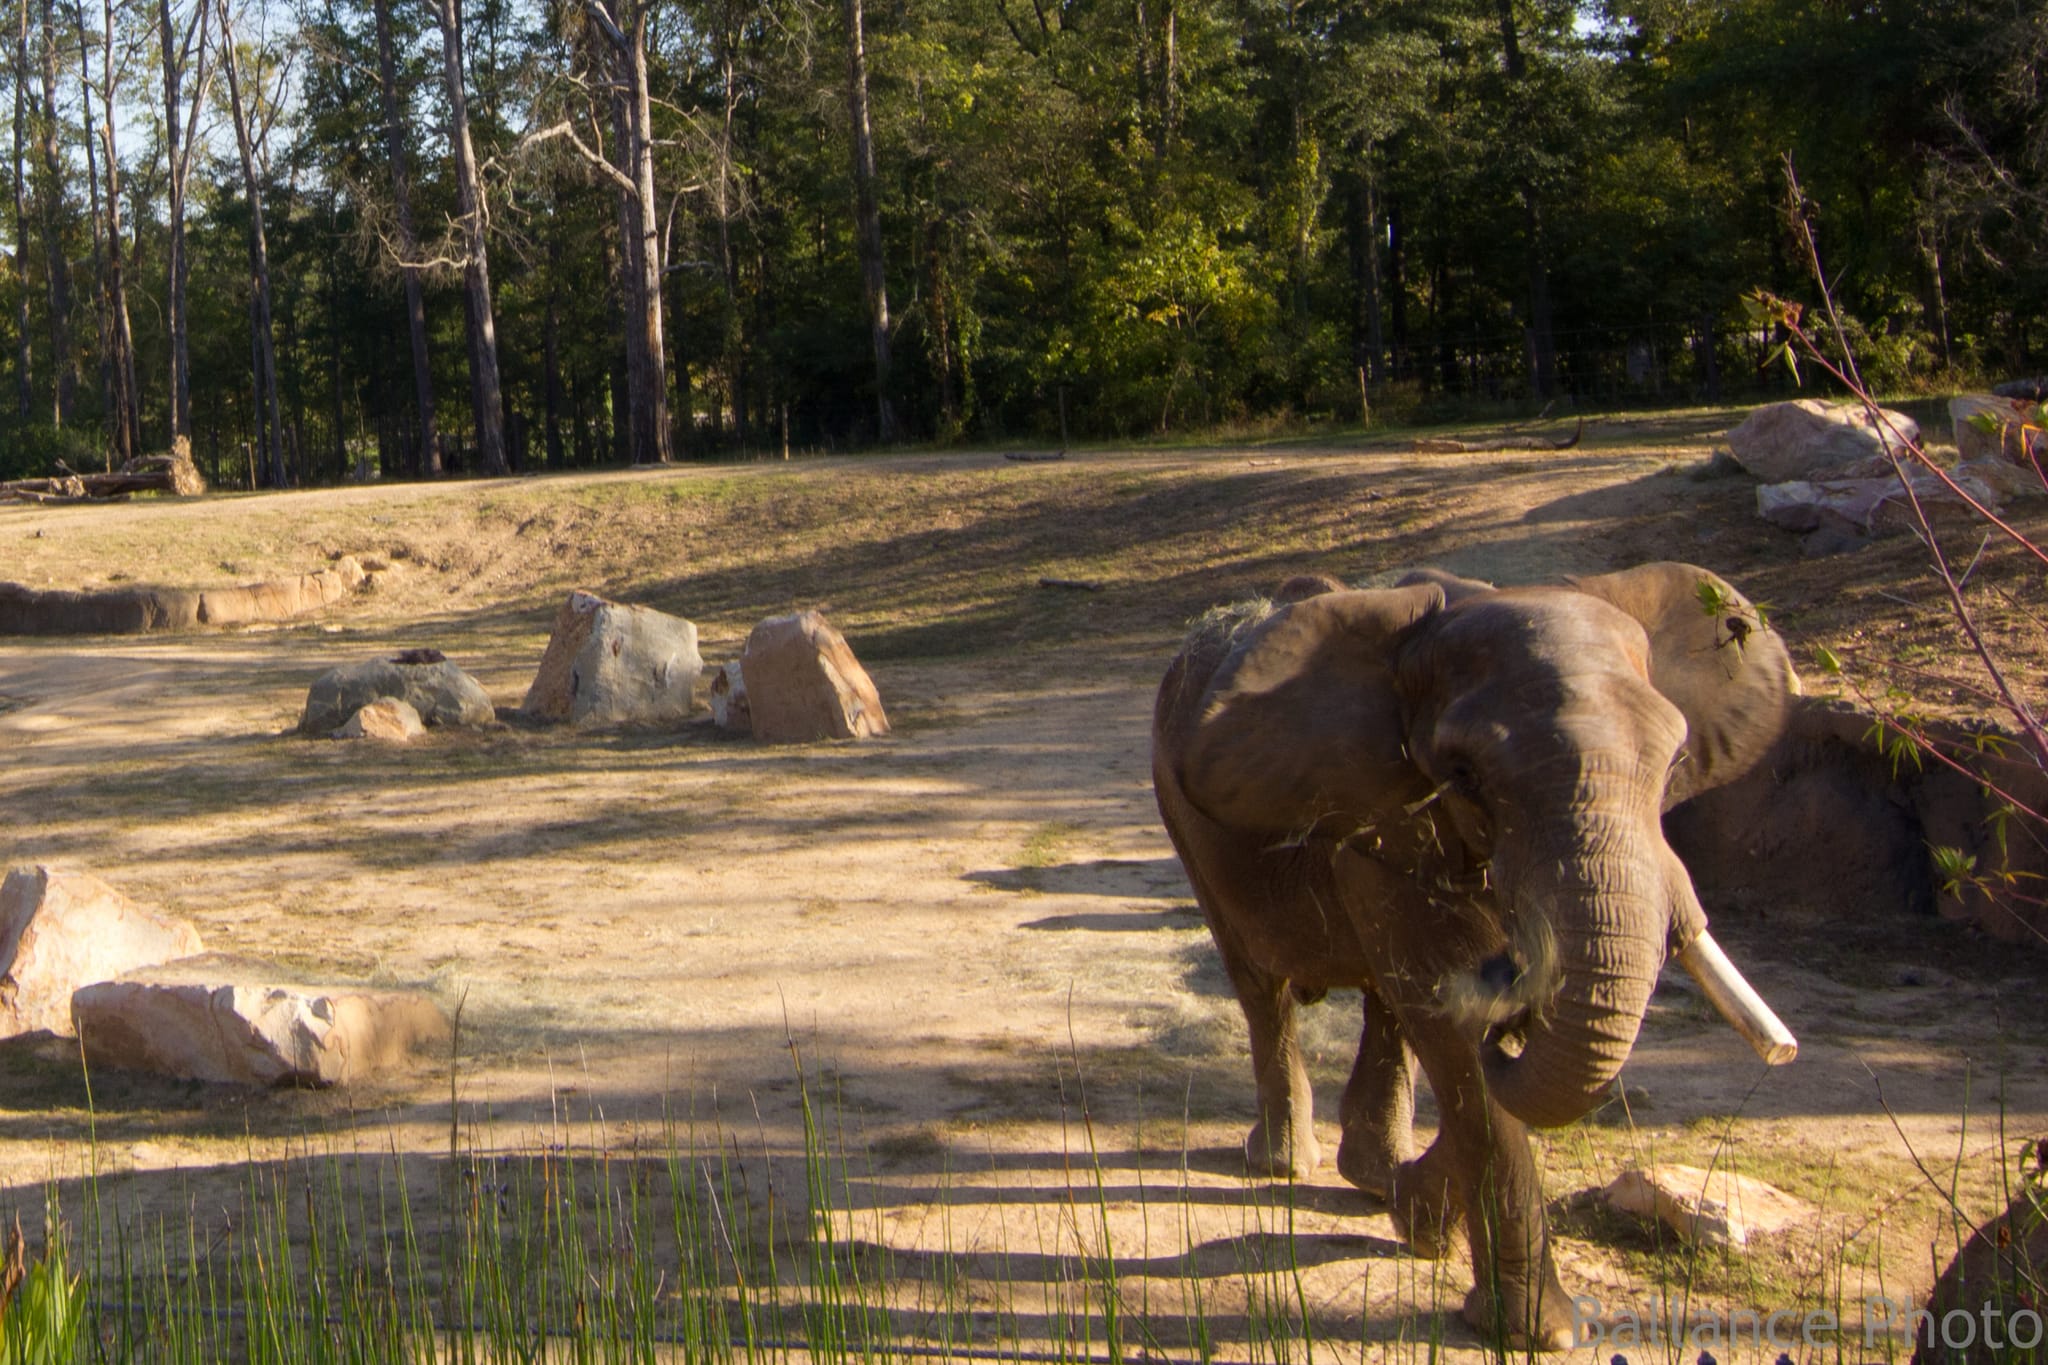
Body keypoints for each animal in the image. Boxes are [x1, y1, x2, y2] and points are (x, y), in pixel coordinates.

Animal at [1151, 561, 1800, 1350]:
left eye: (1676, 761)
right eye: (1464, 775)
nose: (1513, 1012)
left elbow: (1448, 1036)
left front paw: (1418, 1215)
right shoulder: (1381, 817)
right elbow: (1450, 1032)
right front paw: (1536, 1332)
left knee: (1382, 1005)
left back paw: (1373, 1176)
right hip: (1185, 822)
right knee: (1264, 986)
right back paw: (1284, 1162)